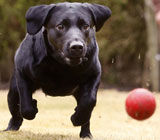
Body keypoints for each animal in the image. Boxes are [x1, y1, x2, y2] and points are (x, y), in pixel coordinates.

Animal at [5, 2, 111, 139]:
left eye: (86, 26)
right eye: (60, 26)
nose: (77, 47)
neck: (62, 66)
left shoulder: (94, 75)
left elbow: (89, 102)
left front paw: (77, 118)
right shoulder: (22, 73)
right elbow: (26, 106)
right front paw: (33, 107)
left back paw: (86, 134)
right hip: (13, 92)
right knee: (16, 111)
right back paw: (11, 128)